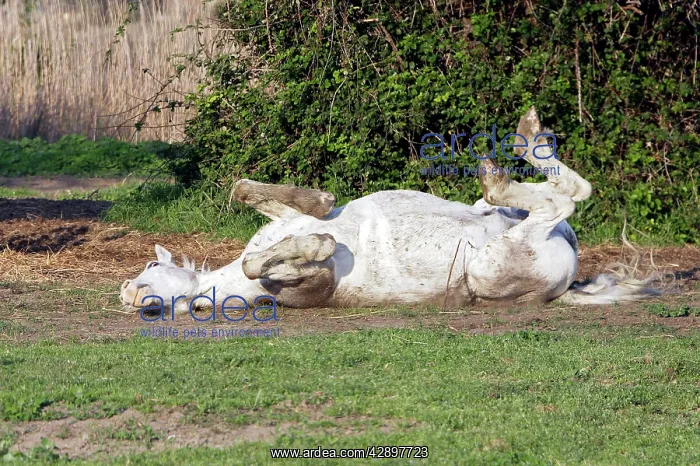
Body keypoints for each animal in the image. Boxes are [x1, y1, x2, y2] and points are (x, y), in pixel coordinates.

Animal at [120, 107, 659, 314]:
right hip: (491, 265)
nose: (129, 292)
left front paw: (321, 211)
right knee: (563, 198)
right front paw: (318, 243)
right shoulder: (307, 286)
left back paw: (522, 142)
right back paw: (507, 161)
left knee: (564, 191)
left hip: (500, 221)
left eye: (148, 264)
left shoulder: (280, 219)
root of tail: (568, 281)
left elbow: (249, 192)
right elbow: (268, 262)